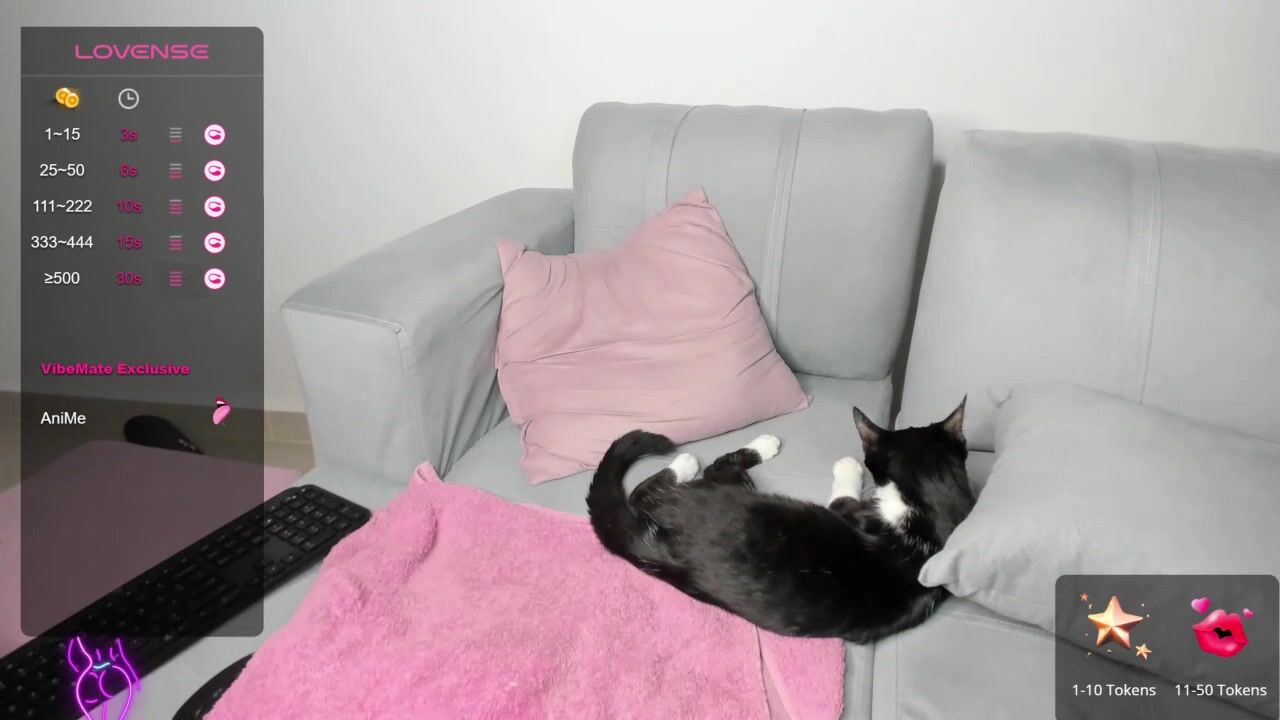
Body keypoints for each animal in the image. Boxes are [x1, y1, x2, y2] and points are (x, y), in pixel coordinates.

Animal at [587, 400, 974, 644]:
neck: (936, 510)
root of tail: (653, 548)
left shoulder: (851, 510)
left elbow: (843, 495)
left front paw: (848, 465)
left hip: (729, 490)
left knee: (675, 480)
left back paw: (702, 458)